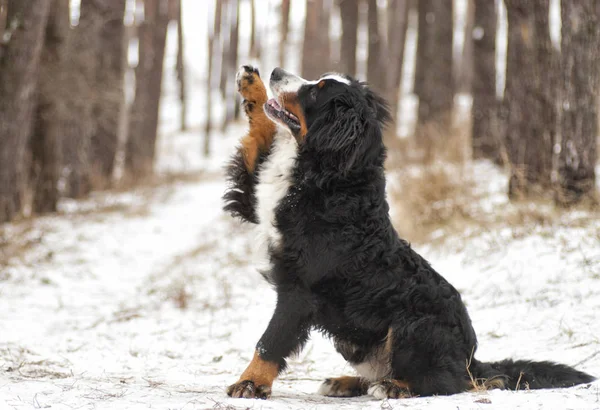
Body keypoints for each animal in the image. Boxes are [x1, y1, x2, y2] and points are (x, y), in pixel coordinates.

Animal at [221, 65, 596, 398]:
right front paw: (251, 85)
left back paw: (392, 387)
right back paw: (347, 382)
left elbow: (270, 342)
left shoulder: (300, 289)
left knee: (445, 381)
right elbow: (258, 136)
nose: (275, 71)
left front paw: (250, 383)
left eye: (315, 90)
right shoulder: (256, 201)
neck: (332, 176)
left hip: (414, 324)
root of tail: (470, 359)